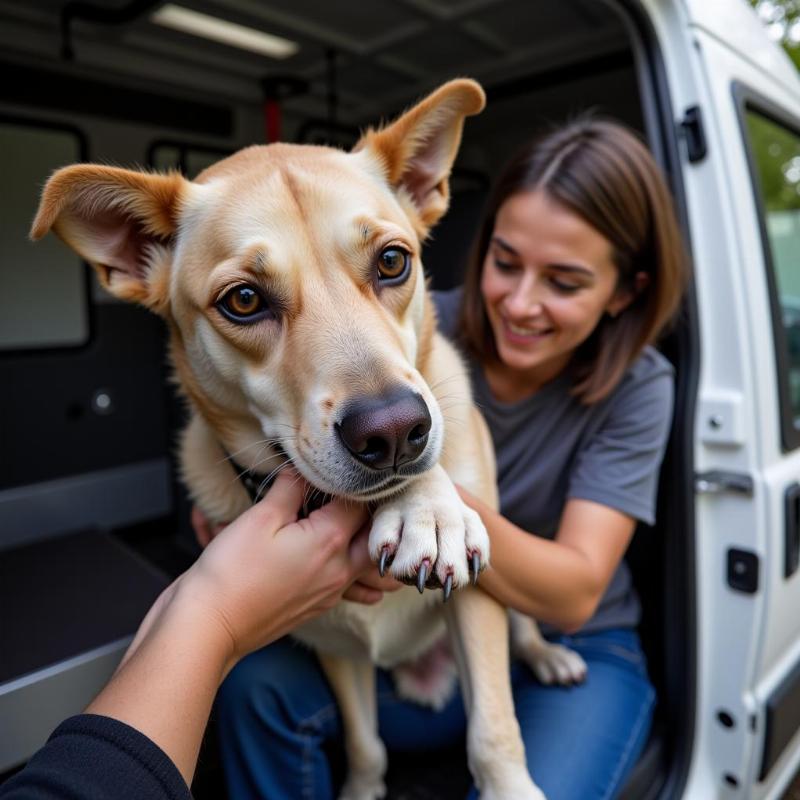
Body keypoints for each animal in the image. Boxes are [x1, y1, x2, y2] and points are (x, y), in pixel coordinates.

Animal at [31, 76, 584, 800]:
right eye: (243, 301)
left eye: (392, 261)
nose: (394, 432)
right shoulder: (334, 644)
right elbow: (366, 744)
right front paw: (361, 788)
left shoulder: (478, 598)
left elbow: (492, 732)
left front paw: (429, 508)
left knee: (524, 630)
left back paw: (547, 655)